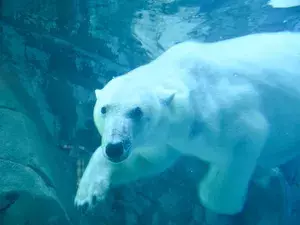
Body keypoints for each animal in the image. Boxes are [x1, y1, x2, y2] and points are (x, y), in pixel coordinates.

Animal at [74, 31, 300, 214]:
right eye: (104, 109)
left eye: (137, 111)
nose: (114, 147)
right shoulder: (168, 140)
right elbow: (148, 162)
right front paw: (87, 195)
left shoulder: (228, 113)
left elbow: (246, 140)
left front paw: (221, 203)